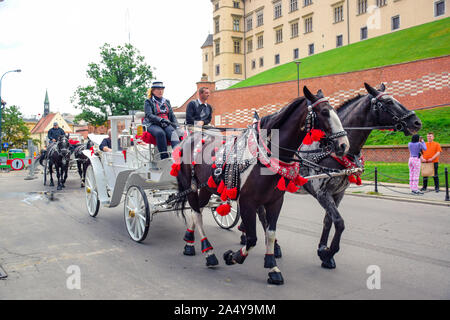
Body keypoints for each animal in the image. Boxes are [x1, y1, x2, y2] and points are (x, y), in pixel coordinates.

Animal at [174, 86, 350, 284]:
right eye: (324, 112)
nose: (344, 145)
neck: (264, 156)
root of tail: (190, 137)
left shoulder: (275, 201)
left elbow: (270, 233)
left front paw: (272, 266)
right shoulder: (247, 202)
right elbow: (252, 238)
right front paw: (233, 256)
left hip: (206, 187)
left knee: (196, 211)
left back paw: (190, 240)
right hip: (191, 185)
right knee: (196, 212)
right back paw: (208, 252)